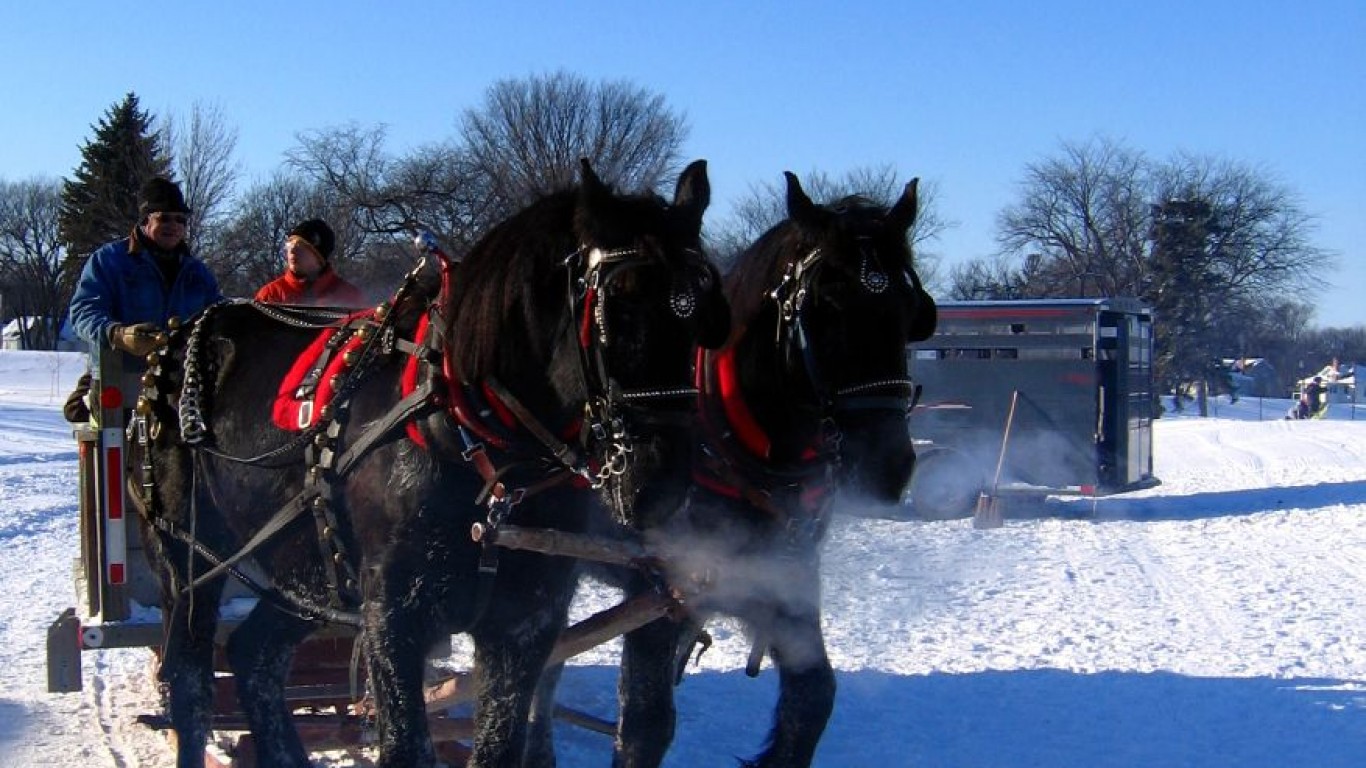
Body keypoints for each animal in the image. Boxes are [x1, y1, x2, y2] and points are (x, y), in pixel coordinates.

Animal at [130, 158, 726, 765]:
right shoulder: (393, 618)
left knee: (255, 657)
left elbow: (500, 750)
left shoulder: (523, 625)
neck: (480, 446)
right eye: (616, 306)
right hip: (188, 556)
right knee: (192, 683)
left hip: (306, 570)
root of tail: (177, 336)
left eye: (703, 315)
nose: (661, 483)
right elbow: (406, 748)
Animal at [543, 168, 939, 765]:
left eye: (909, 310)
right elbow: (645, 724)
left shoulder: (785, 582)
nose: (888, 466)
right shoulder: (658, 594)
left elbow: (811, 701)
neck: (741, 454)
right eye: (825, 306)